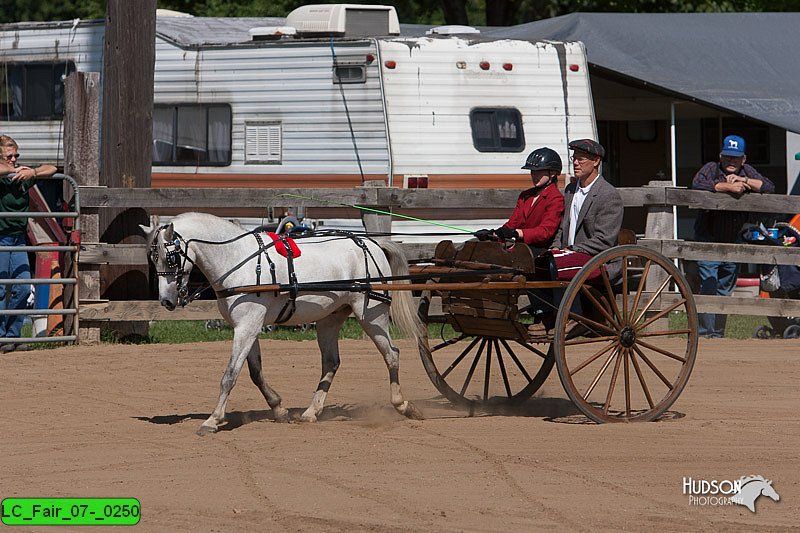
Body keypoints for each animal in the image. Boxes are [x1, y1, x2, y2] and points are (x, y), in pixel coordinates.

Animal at [141, 210, 424, 434]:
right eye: (152, 258)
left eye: (170, 258)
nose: (166, 301)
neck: (237, 261)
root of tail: (371, 243)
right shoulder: (248, 326)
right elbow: (255, 373)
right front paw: (279, 409)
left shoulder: (247, 327)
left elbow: (230, 375)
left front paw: (212, 420)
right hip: (329, 320)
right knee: (331, 362)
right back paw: (311, 412)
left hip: (371, 315)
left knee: (392, 354)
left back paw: (403, 405)